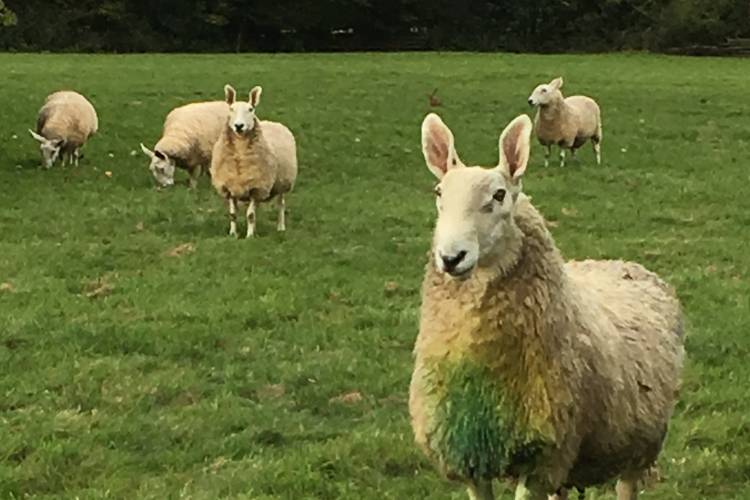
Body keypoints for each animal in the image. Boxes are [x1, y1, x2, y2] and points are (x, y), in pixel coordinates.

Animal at [210, 84, 298, 238]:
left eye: (251, 109)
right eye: (231, 108)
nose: (239, 126)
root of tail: (271, 122)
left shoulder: (256, 187)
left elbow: (250, 215)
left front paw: (249, 236)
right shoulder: (230, 187)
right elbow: (233, 215)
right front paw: (233, 234)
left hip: (282, 183)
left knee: (281, 204)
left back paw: (281, 227)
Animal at [409, 113, 684, 500]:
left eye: (499, 195)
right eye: (439, 194)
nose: (451, 257)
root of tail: (618, 263)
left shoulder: (541, 457)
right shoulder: (470, 455)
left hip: (638, 446)